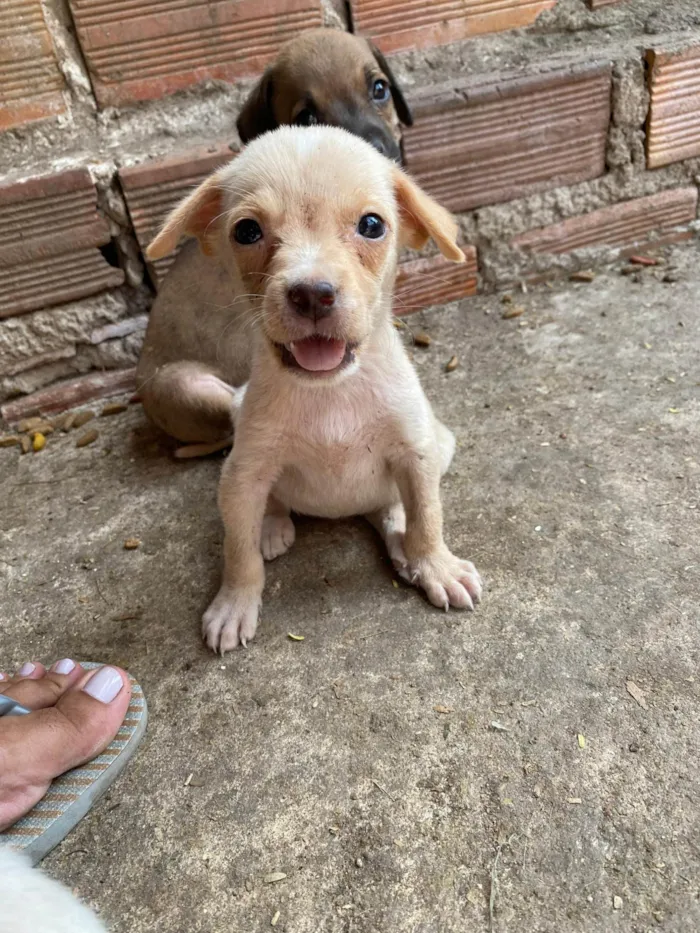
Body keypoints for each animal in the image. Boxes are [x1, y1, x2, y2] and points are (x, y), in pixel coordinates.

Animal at [144, 124, 478, 652]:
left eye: (371, 225)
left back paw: (402, 545)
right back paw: (272, 525)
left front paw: (436, 566)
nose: (312, 294)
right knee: (271, 506)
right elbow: (237, 551)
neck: (332, 393)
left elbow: (427, 516)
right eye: (246, 231)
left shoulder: (418, 454)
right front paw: (234, 603)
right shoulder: (242, 473)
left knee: (392, 510)